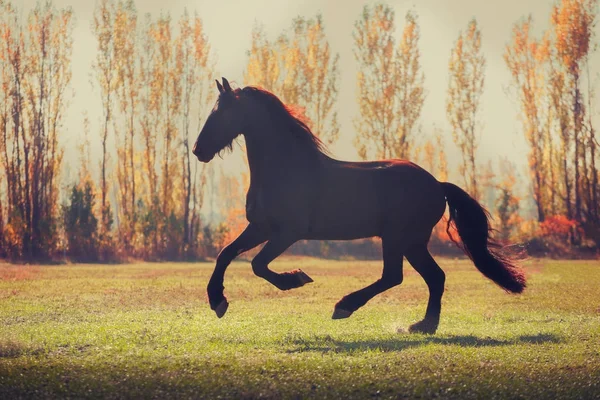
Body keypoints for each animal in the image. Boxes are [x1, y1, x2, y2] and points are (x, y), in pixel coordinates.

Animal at [193, 76, 524, 332]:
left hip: (398, 237)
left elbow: (258, 264)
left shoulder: (288, 232)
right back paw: (423, 325)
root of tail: (438, 185)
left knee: (395, 276)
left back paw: (345, 307)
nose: (198, 150)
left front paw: (296, 279)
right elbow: (226, 254)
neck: (286, 169)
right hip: (413, 242)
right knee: (434, 277)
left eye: (222, 113)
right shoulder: (260, 227)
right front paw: (217, 301)